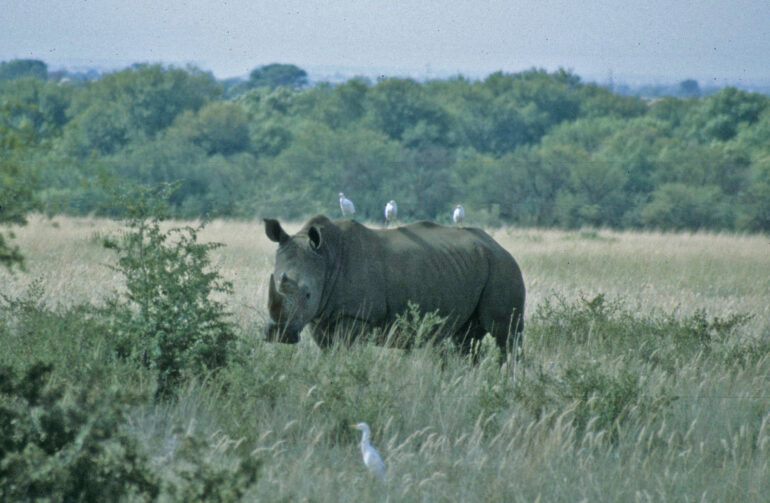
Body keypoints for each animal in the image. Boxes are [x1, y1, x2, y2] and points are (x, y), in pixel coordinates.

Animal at [263, 215, 525, 356]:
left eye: (308, 294)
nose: (279, 334)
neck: (326, 258)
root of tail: (499, 246)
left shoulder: (357, 315)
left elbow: (344, 351)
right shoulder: (321, 316)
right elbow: (329, 350)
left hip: (503, 267)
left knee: (506, 335)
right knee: (466, 339)